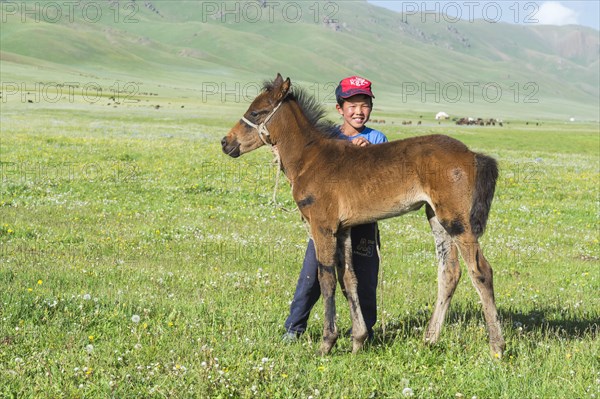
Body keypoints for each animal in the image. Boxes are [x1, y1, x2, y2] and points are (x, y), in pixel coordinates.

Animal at [223, 73, 504, 358]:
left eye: (256, 112)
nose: (226, 142)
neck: (310, 159)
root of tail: (472, 154)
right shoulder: (343, 228)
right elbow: (348, 279)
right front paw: (358, 339)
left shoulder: (323, 226)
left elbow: (326, 279)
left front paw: (327, 342)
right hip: (436, 217)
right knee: (449, 272)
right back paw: (429, 339)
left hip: (456, 220)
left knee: (481, 271)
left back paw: (497, 347)